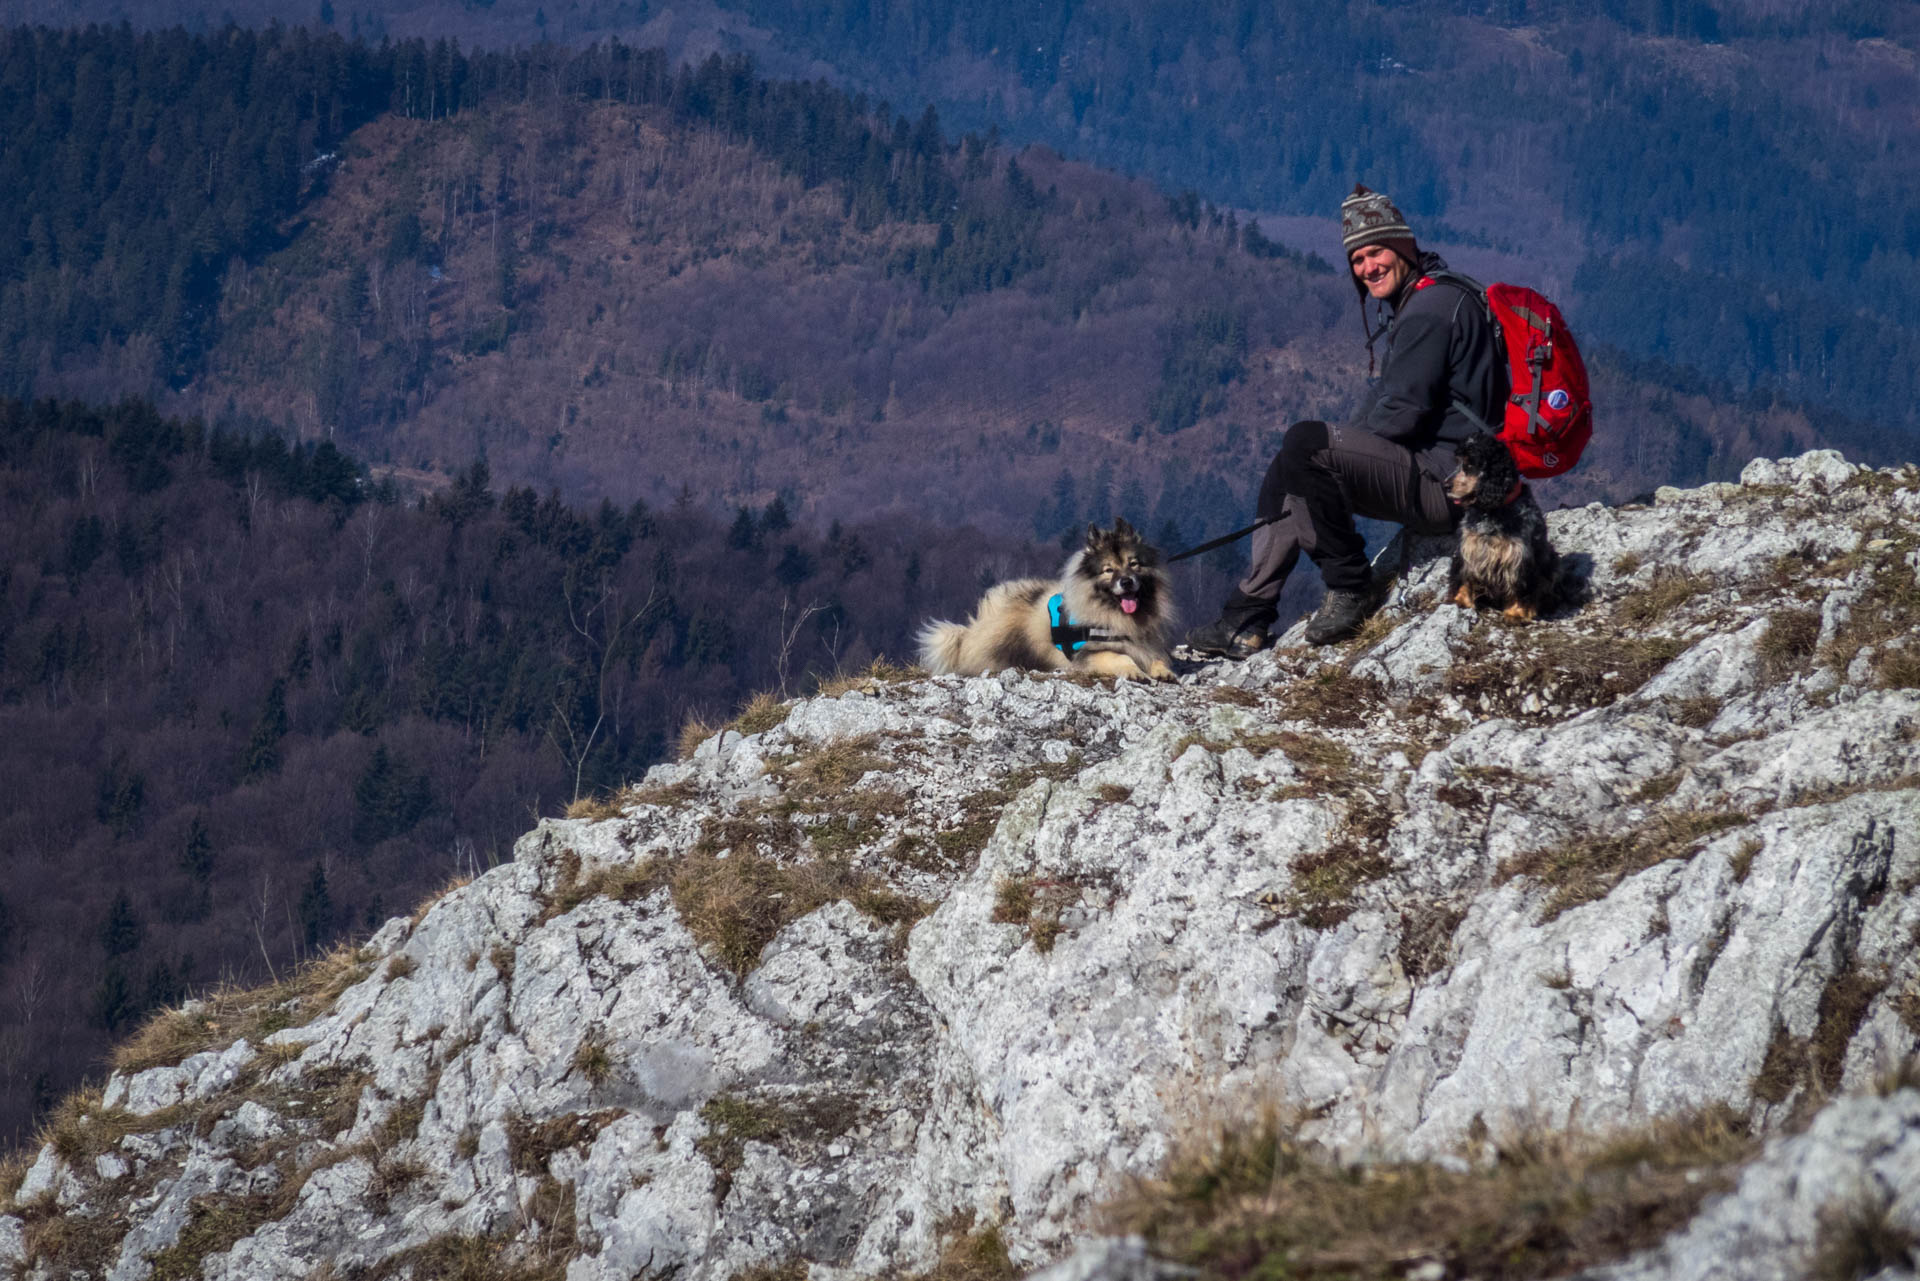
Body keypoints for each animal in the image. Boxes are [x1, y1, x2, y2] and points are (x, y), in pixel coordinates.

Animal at [910, 518, 1167, 679]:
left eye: (1133, 564)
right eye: (1108, 570)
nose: (1127, 582)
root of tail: (973, 629)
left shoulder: (1145, 646)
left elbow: (1157, 658)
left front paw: (1164, 672)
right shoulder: (1088, 654)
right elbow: (1119, 656)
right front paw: (1135, 671)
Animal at [1443, 434, 1566, 622]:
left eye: (1470, 464)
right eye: (1457, 462)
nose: (1445, 486)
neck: (1492, 511)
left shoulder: (1519, 556)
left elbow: (1520, 586)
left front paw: (1516, 613)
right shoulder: (1468, 548)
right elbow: (1464, 577)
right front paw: (1460, 600)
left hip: (1551, 562)